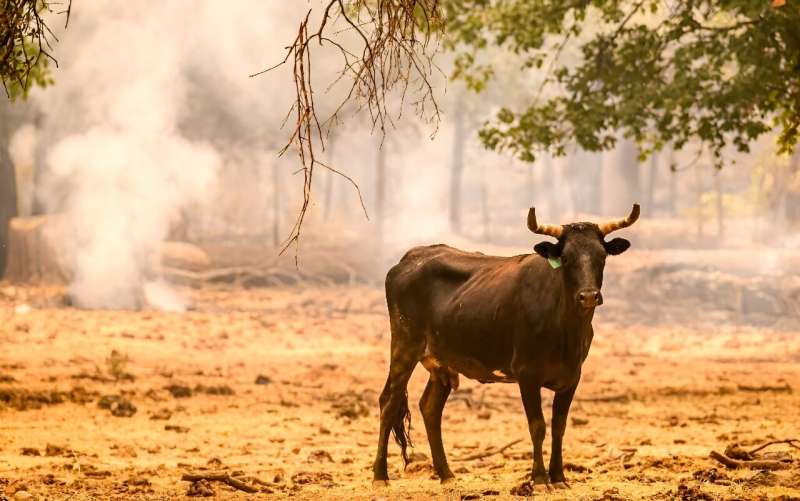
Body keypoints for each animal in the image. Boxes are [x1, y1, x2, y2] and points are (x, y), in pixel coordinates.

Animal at [372, 202, 640, 488]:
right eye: (566, 257)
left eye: (602, 256)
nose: (588, 296)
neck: (565, 328)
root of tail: (410, 257)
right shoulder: (526, 373)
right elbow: (538, 425)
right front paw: (540, 478)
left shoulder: (572, 376)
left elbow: (559, 426)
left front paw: (558, 476)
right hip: (404, 345)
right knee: (388, 402)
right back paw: (380, 475)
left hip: (441, 361)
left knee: (430, 408)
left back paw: (447, 474)